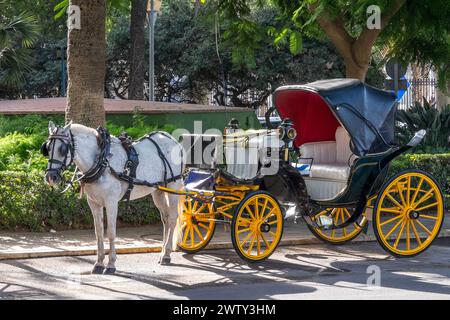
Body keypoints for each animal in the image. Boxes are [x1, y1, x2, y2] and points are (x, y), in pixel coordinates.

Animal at [42, 121, 183, 274]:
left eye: (62, 149)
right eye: (47, 148)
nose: (51, 177)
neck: (102, 161)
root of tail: (172, 139)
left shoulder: (111, 203)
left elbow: (111, 232)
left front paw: (111, 264)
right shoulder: (93, 203)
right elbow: (98, 233)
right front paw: (98, 263)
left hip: (173, 188)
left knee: (173, 218)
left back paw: (167, 255)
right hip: (158, 191)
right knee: (165, 220)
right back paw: (163, 253)